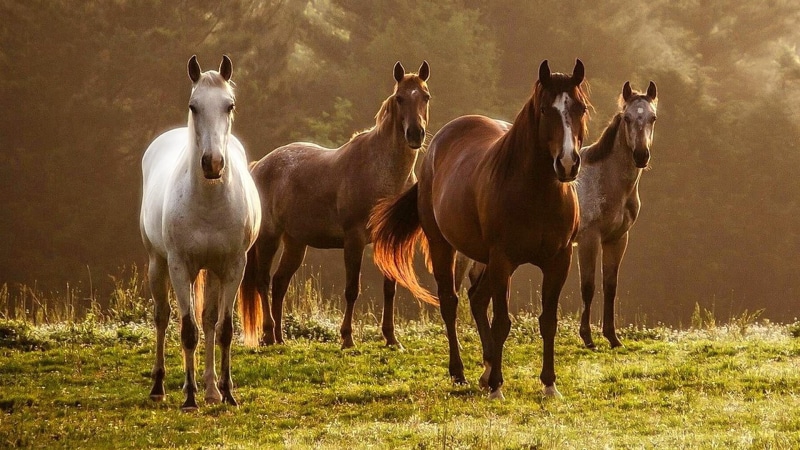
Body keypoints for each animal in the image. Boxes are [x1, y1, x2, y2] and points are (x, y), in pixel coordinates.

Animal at [139, 55, 261, 411]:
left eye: (229, 105)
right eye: (193, 106)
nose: (213, 163)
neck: (208, 202)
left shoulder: (233, 267)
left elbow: (223, 329)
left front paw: (227, 393)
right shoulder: (180, 266)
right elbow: (188, 331)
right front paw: (190, 398)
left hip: (213, 271)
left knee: (207, 320)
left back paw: (211, 389)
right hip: (158, 263)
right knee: (163, 317)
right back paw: (161, 386)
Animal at [239, 61, 433, 349]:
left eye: (425, 96)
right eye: (399, 98)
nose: (415, 134)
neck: (381, 172)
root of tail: (259, 166)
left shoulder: (386, 239)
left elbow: (390, 289)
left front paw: (391, 338)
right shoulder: (354, 240)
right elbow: (352, 290)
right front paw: (347, 338)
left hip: (295, 243)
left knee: (280, 282)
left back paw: (280, 338)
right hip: (268, 237)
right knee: (263, 281)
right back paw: (268, 334)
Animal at [370, 60, 590, 399]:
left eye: (580, 108)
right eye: (544, 109)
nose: (567, 164)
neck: (537, 194)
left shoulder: (558, 261)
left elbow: (548, 321)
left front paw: (549, 384)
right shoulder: (503, 260)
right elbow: (501, 322)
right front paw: (498, 385)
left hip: (485, 259)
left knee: (476, 298)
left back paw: (485, 371)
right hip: (444, 246)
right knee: (451, 302)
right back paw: (460, 372)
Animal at [575, 81, 658, 348]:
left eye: (653, 117)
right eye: (627, 118)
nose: (641, 155)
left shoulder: (617, 239)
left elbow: (610, 286)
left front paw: (612, 336)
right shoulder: (589, 240)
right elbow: (588, 286)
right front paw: (587, 337)